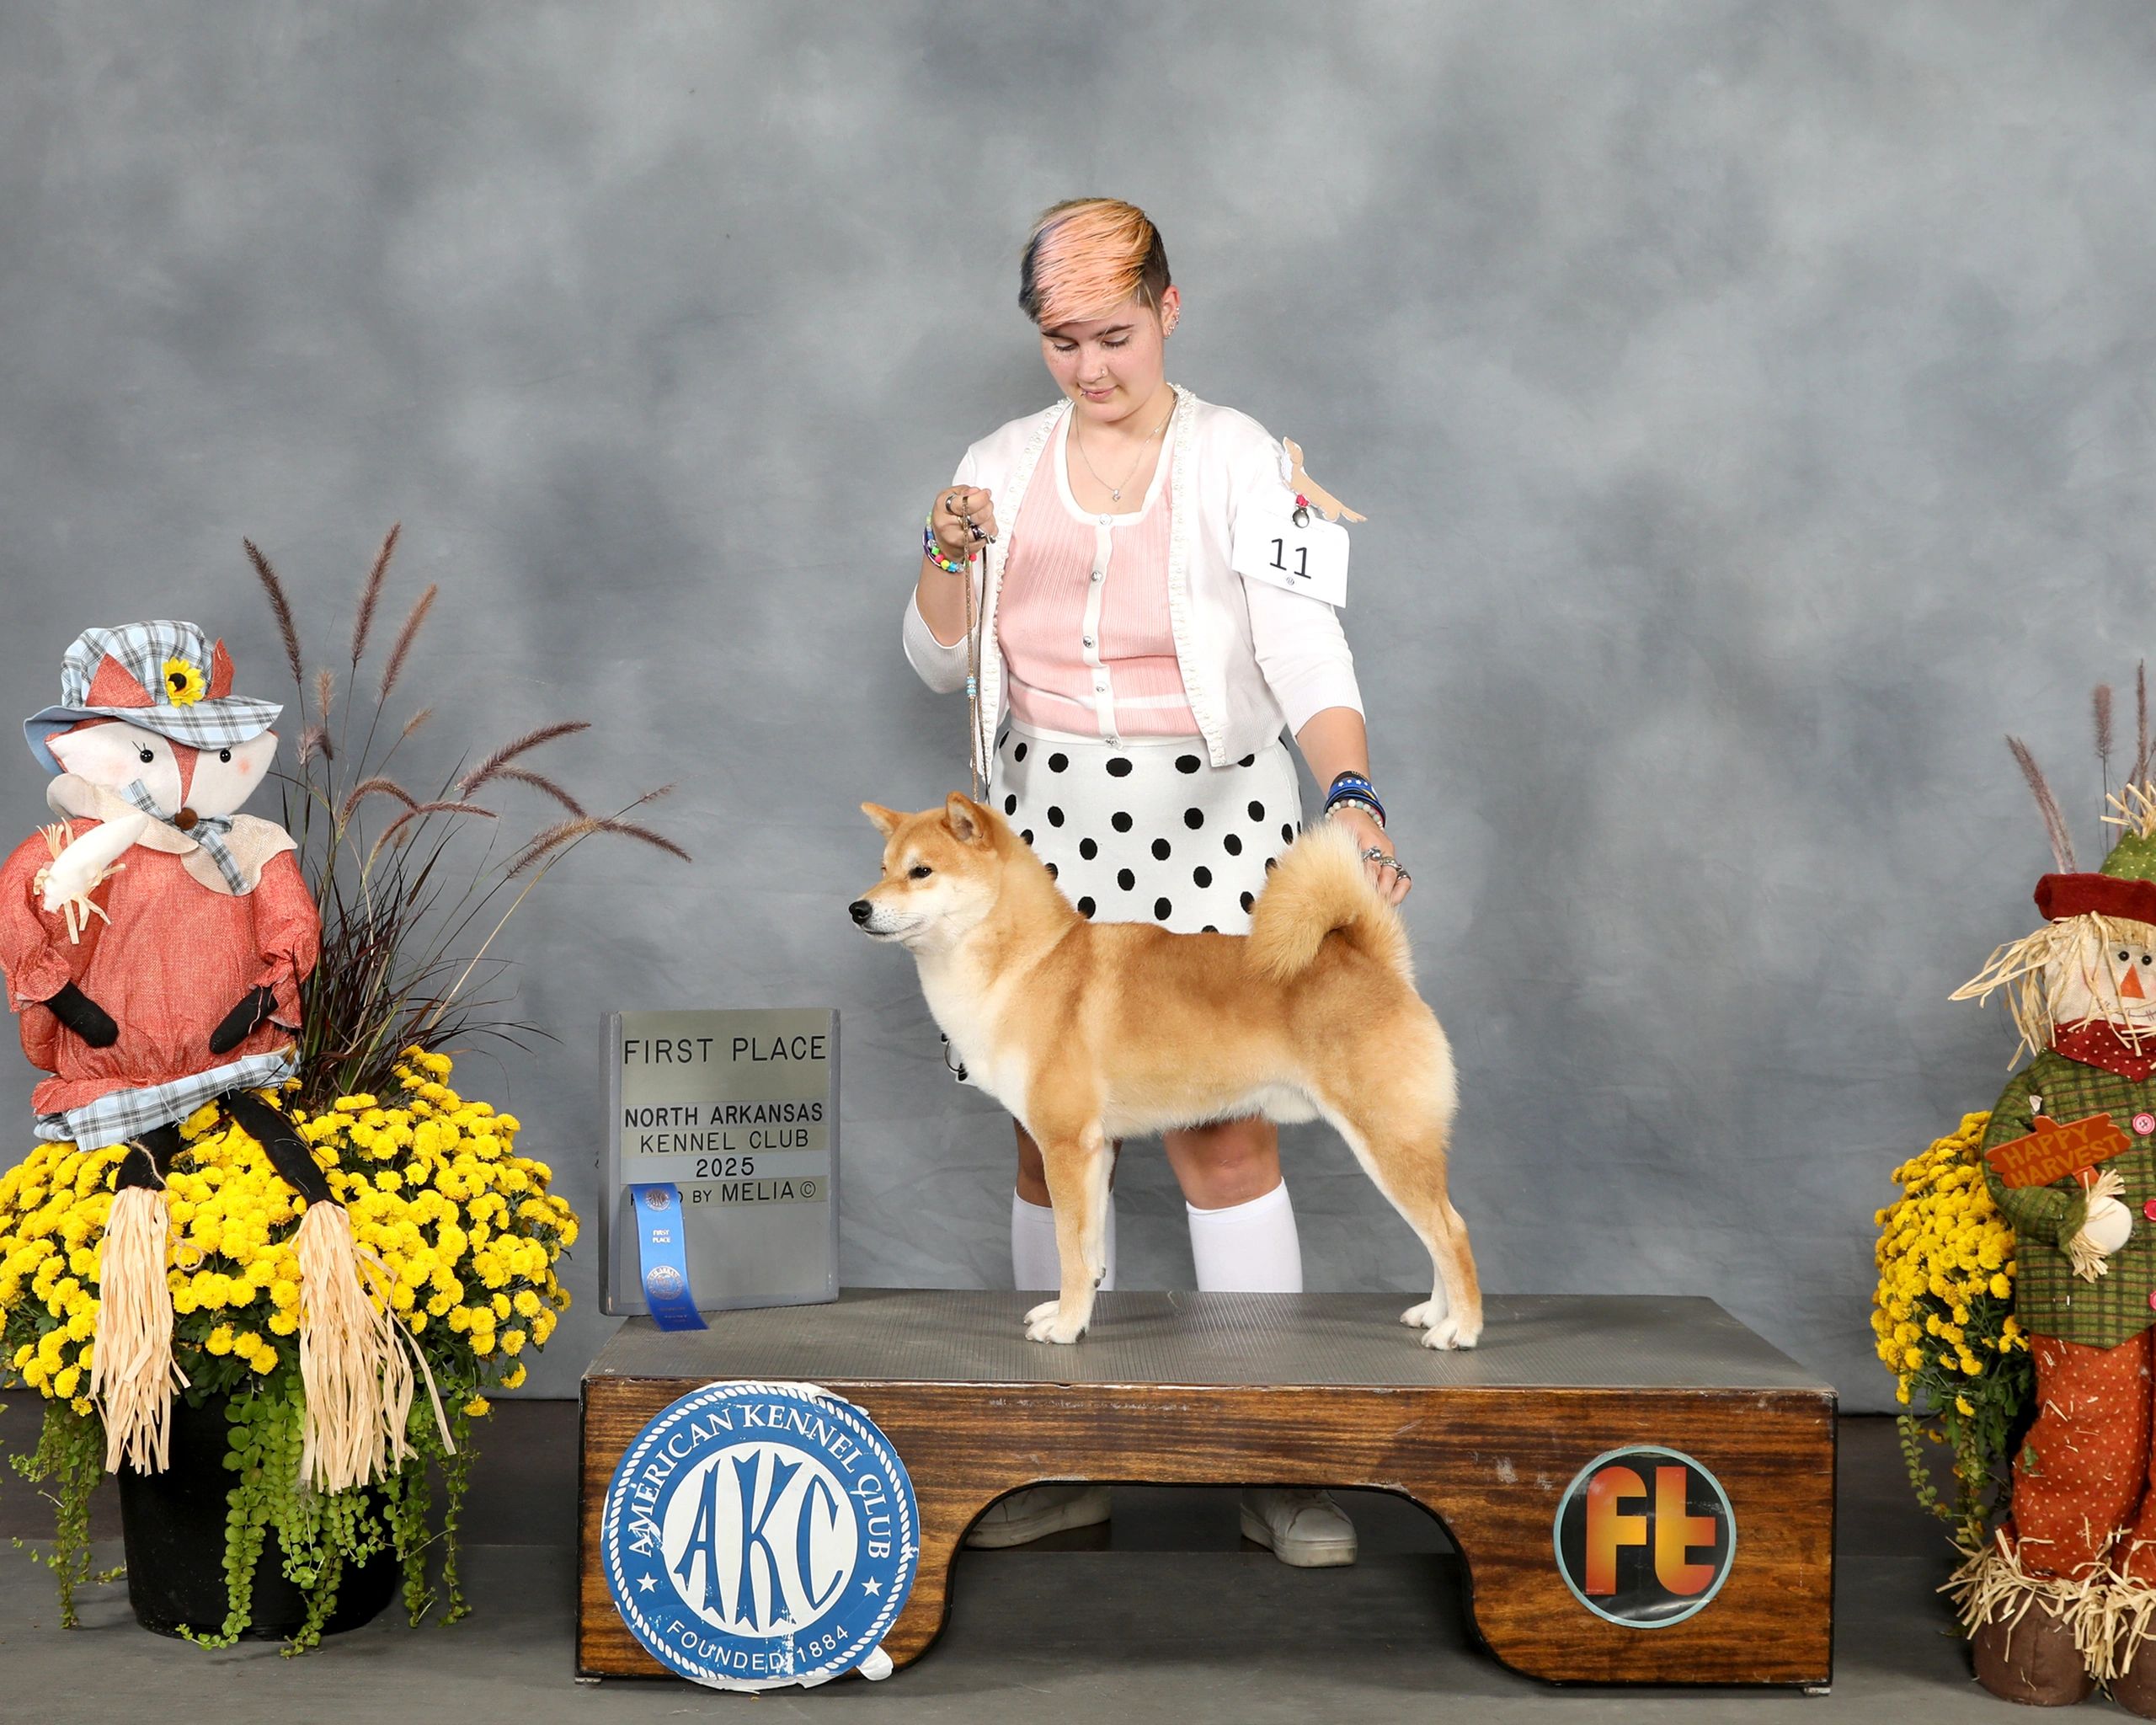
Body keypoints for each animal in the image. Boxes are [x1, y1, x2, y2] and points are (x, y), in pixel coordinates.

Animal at [850, 793, 1479, 1349]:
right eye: (882, 870)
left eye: (921, 871)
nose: (858, 908)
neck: (1030, 962)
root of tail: (1376, 963)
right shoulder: (1095, 1150)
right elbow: (1089, 1253)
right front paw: (1072, 1312)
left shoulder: (1066, 1145)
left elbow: (1068, 1251)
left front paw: (1067, 1327)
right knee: (1437, 1233)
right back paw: (1437, 1314)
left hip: (1388, 1139)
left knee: (1450, 1231)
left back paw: (1462, 1330)